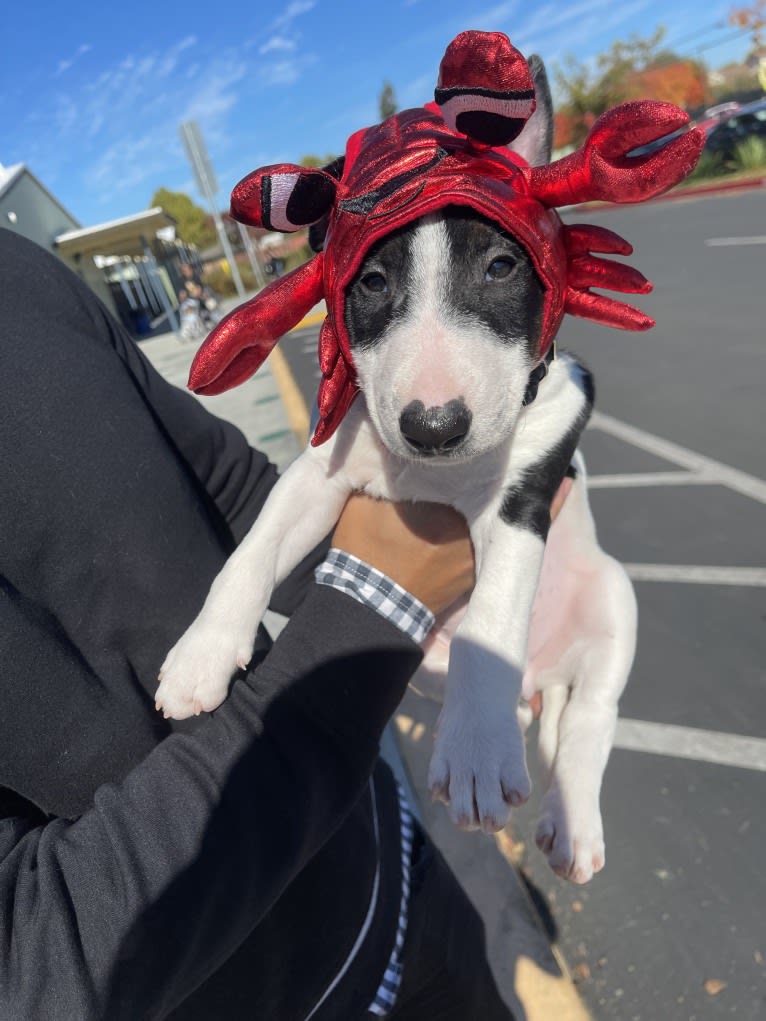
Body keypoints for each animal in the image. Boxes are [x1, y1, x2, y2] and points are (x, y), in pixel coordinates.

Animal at [156, 63, 637, 882]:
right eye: (372, 282)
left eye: (501, 266)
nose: (433, 426)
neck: (435, 475)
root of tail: (543, 676)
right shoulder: (317, 474)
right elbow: (250, 554)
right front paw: (203, 651)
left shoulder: (524, 498)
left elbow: (492, 619)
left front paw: (476, 757)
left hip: (614, 596)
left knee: (590, 716)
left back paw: (569, 823)